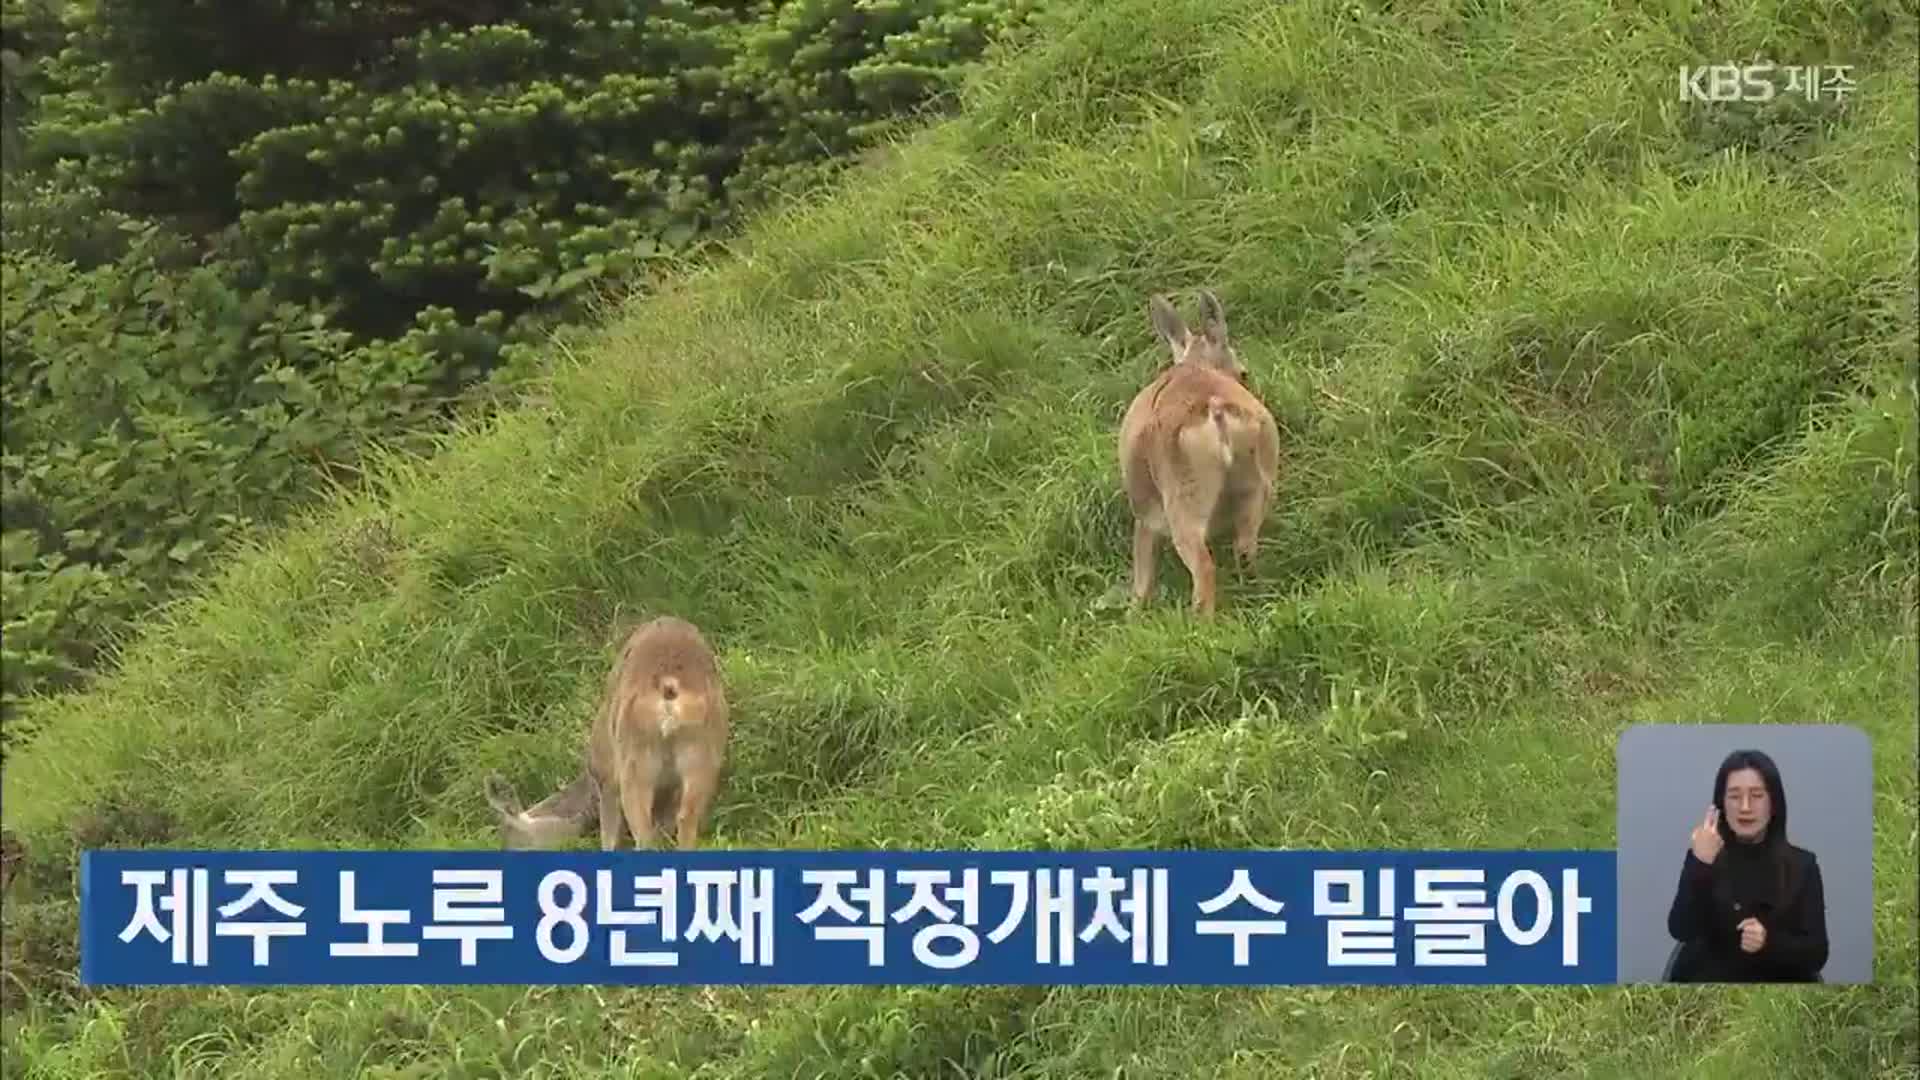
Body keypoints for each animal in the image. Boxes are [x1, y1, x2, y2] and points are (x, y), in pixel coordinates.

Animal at [483, 614, 729, 849]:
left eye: (506, 835)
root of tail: (670, 685)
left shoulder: (607, 780)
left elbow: (609, 837)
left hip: (634, 763)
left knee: (644, 834)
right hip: (702, 755)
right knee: (685, 820)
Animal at [1121, 288, 1282, 614]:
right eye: (1244, 373)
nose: (1245, 375)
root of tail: (1215, 409)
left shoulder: (1145, 519)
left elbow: (1141, 584)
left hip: (1184, 503)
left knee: (1204, 569)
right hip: (1258, 485)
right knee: (1245, 550)